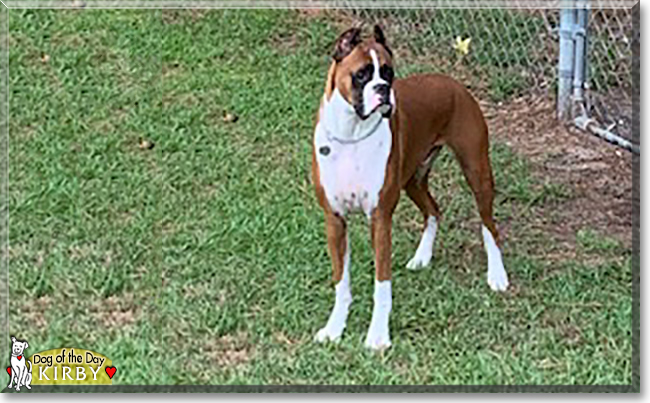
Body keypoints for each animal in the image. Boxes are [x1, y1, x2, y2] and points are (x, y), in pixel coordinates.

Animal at [312, 26, 508, 352]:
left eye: (388, 72)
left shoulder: (379, 220)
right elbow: (341, 282)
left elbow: (381, 284)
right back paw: (422, 257)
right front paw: (334, 327)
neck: (351, 134)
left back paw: (497, 274)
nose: (383, 89)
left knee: (488, 225)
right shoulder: (334, 221)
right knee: (434, 210)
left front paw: (378, 335)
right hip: (412, 181)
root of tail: (452, 81)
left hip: (477, 172)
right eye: (362, 74)